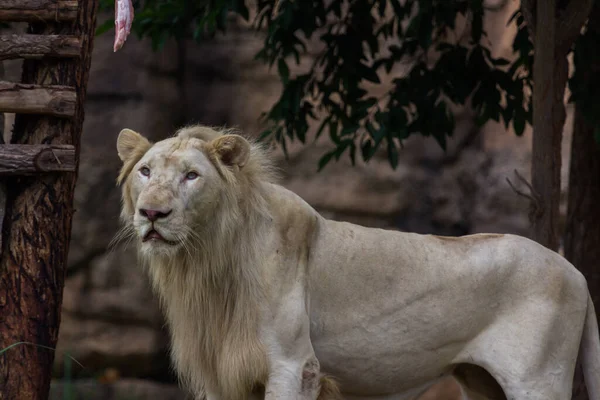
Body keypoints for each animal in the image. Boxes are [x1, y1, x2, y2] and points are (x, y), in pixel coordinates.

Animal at [116, 126, 600, 400]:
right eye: (145, 171)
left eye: (191, 176)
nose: (152, 213)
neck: (207, 261)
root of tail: (576, 271)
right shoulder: (223, 375)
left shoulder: (293, 366)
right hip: (483, 384)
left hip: (538, 379)